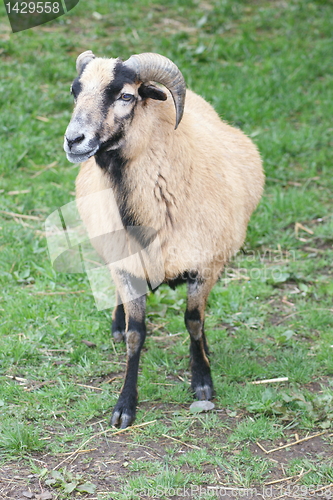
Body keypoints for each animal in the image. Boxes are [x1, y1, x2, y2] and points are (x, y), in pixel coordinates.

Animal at [63, 51, 264, 430]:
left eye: (126, 96)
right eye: (75, 91)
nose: (73, 140)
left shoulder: (204, 264)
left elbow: (193, 321)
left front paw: (202, 378)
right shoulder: (127, 266)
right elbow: (135, 335)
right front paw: (125, 405)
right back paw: (117, 323)